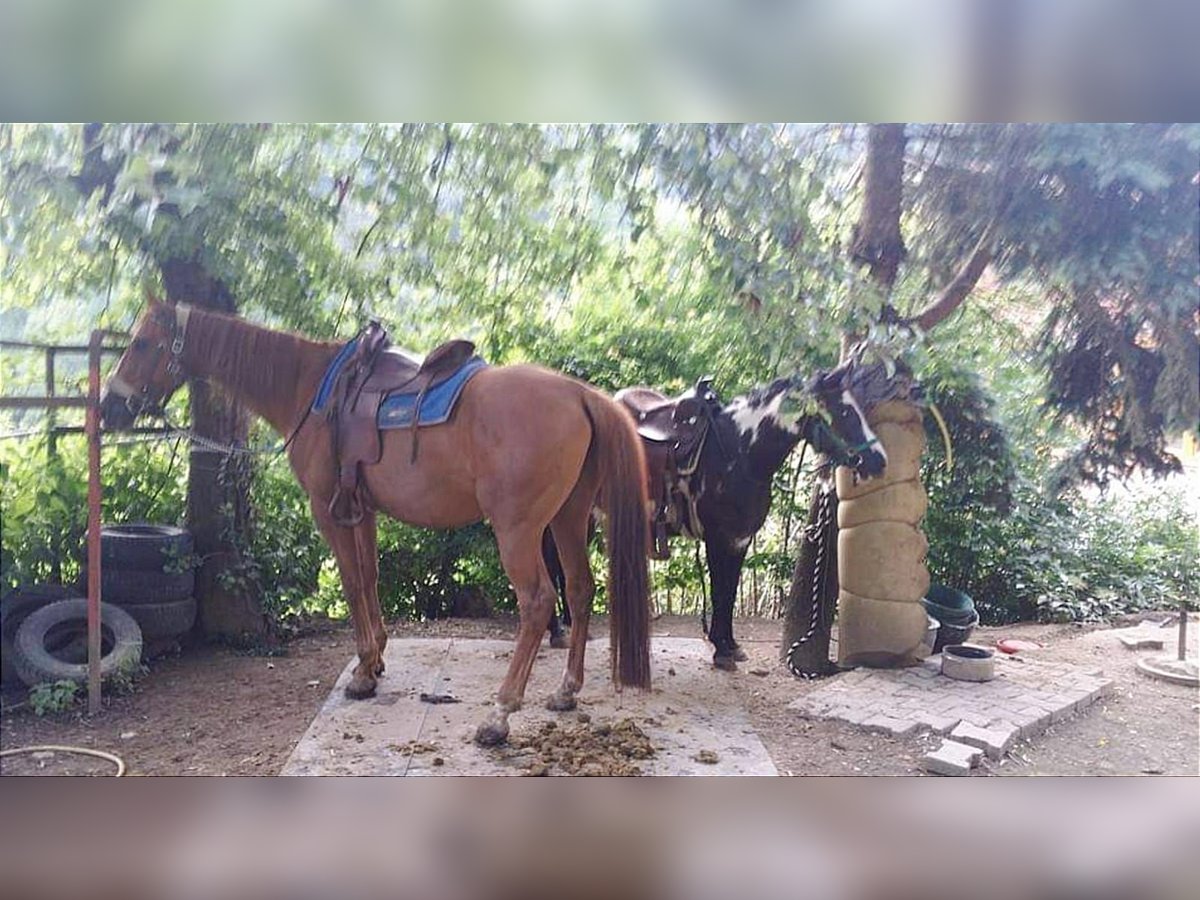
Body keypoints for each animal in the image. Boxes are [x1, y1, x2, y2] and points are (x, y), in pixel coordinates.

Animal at [99, 301, 652, 748]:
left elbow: (349, 580)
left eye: (142, 343)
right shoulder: (360, 509)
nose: (110, 409)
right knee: (579, 589)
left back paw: (499, 714)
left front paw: (364, 672)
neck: (309, 388)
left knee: (538, 602)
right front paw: (376, 663)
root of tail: (579, 393)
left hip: (518, 529)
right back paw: (565, 691)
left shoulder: (327, 509)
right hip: (568, 516)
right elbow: (368, 577)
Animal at [549, 367, 888, 672]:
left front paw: (729, 645)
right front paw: (722, 650)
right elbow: (718, 591)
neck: (739, 453)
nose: (879, 461)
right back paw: (558, 631)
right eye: (844, 411)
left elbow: (729, 591)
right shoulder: (717, 537)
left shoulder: (739, 539)